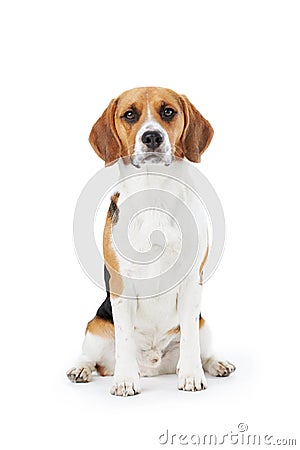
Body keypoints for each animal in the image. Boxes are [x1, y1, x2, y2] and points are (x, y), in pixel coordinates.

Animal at [67, 87, 236, 394]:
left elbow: (190, 340)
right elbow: (124, 339)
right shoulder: (121, 286)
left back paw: (215, 364)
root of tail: (153, 366)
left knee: (201, 348)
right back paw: (82, 369)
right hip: (94, 329)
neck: (154, 192)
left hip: (204, 325)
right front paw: (124, 380)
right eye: (129, 114)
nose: (152, 137)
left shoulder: (192, 282)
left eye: (168, 111)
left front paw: (191, 376)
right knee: (93, 359)